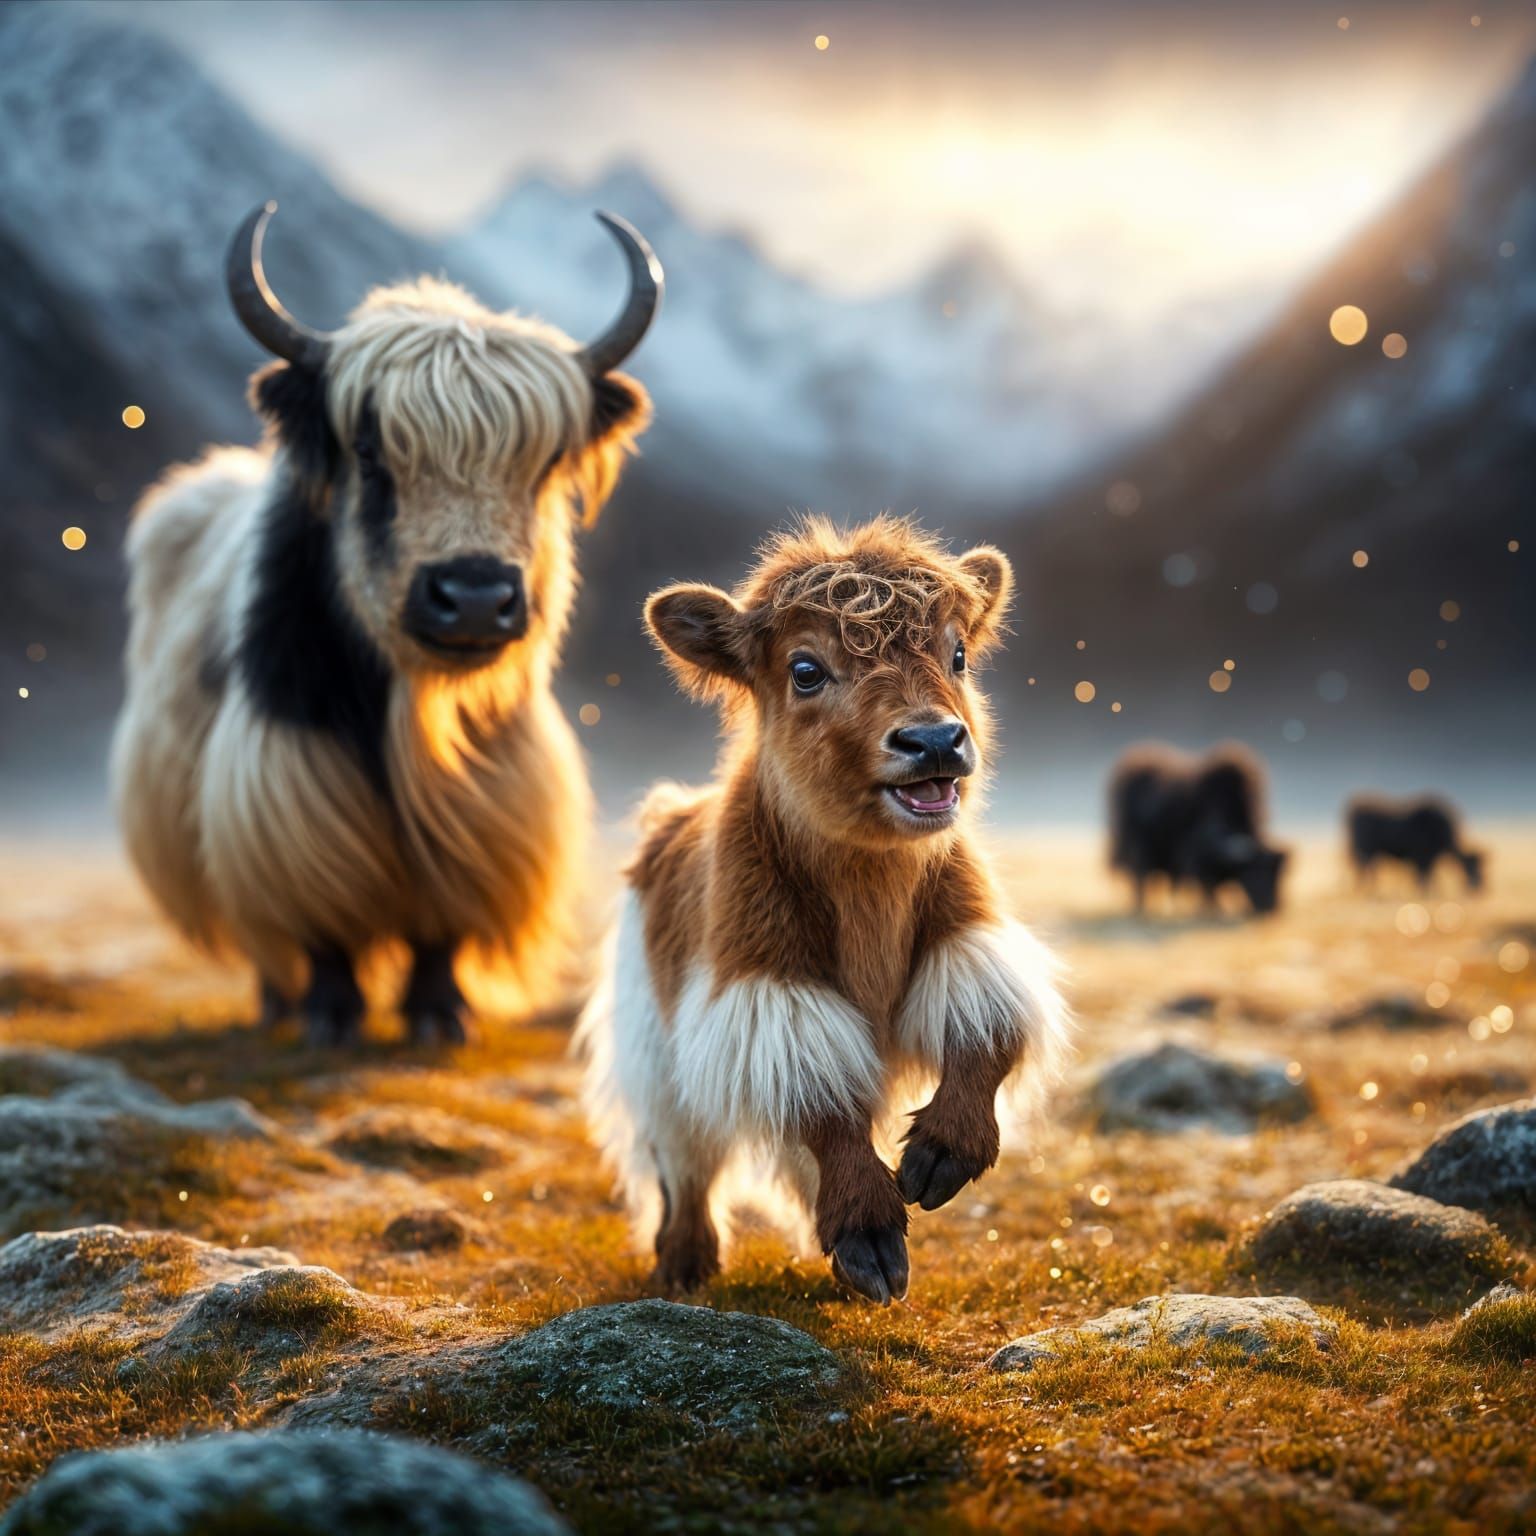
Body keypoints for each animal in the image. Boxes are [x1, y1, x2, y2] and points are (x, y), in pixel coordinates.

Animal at [110, 202, 662, 1045]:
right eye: (369, 453)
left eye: (543, 463)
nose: (474, 596)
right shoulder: (286, 778)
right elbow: (318, 910)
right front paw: (331, 1018)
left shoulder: (488, 792)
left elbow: (443, 919)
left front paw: (439, 1016)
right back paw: (280, 1007)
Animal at [576, 517, 1069, 1304]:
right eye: (805, 669)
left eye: (958, 652)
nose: (934, 741)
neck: (870, 887)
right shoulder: (763, 988)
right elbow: (820, 1100)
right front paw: (869, 1234)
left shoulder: (968, 933)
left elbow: (984, 1033)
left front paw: (938, 1157)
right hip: (654, 1053)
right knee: (684, 1160)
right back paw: (684, 1263)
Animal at [1109, 743, 1287, 915]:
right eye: (1254, 872)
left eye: (1278, 874)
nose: (1271, 906)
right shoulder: (1197, 861)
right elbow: (1207, 889)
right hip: (1138, 849)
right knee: (1139, 876)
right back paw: (1140, 908)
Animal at [1347, 795, 1484, 892]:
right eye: (1472, 868)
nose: (1481, 887)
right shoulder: (1423, 855)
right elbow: (1424, 875)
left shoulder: (1428, 857)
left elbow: (1428, 875)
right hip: (1365, 850)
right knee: (1364, 869)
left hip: (1369, 852)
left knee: (1367, 869)